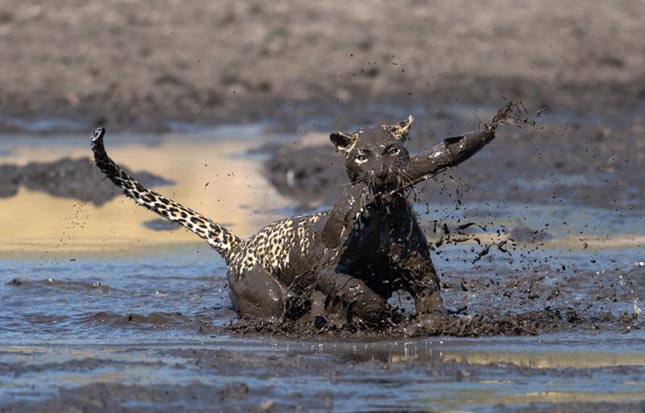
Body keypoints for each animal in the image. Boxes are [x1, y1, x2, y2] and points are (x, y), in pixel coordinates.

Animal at [89, 106, 508, 328]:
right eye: (362, 156)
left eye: (391, 150)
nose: (380, 174)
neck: (385, 216)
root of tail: (239, 245)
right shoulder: (329, 272)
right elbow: (356, 289)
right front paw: (379, 313)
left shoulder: (421, 274)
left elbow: (431, 301)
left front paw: (426, 324)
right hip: (265, 295)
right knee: (275, 309)